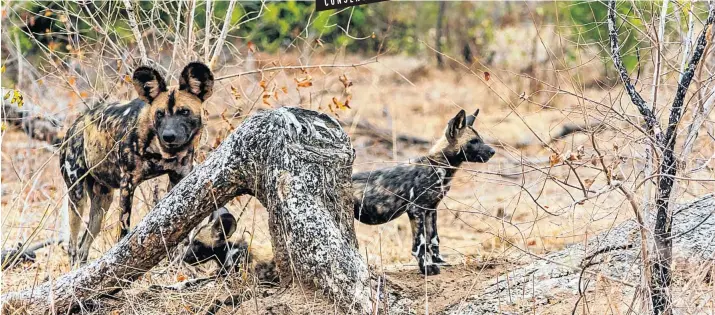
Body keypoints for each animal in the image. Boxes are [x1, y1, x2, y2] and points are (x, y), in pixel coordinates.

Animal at [59, 62, 213, 266]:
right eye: (159, 114)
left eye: (184, 112)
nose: (169, 136)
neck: (160, 151)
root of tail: (73, 125)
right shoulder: (128, 183)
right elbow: (124, 231)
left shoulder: (179, 177)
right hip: (77, 197)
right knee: (73, 245)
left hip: (103, 201)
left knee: (84, 246)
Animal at [354, 109, 498, 276]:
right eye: (473, 141)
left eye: (480, 139)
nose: (493, 151)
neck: (439, 166)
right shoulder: (416, 210)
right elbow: (420, 244)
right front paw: (427, 268)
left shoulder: (430, 209)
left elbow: (433, 239)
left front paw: (438, 261)